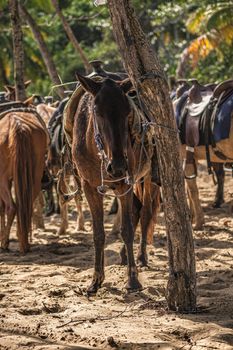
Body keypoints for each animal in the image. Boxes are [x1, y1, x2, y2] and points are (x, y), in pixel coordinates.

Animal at [0, 110, 47, 253]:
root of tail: (18, 124)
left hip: (3, 179)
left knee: (12, 207)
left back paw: (5, 243)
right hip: (35, 178)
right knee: (26, 205)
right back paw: (24, 242)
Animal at [72, 75, 159, 294]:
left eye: (128, 112)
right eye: (97, 111)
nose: (118, 166)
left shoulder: (124, 184)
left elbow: (127, 229)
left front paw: (133, 280)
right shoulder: (89, 187)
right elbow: (98, 233)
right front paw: (95, 281)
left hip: (146, 178)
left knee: (145, 212)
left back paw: (141, 257)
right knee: (137, 209)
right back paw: (124, 256)